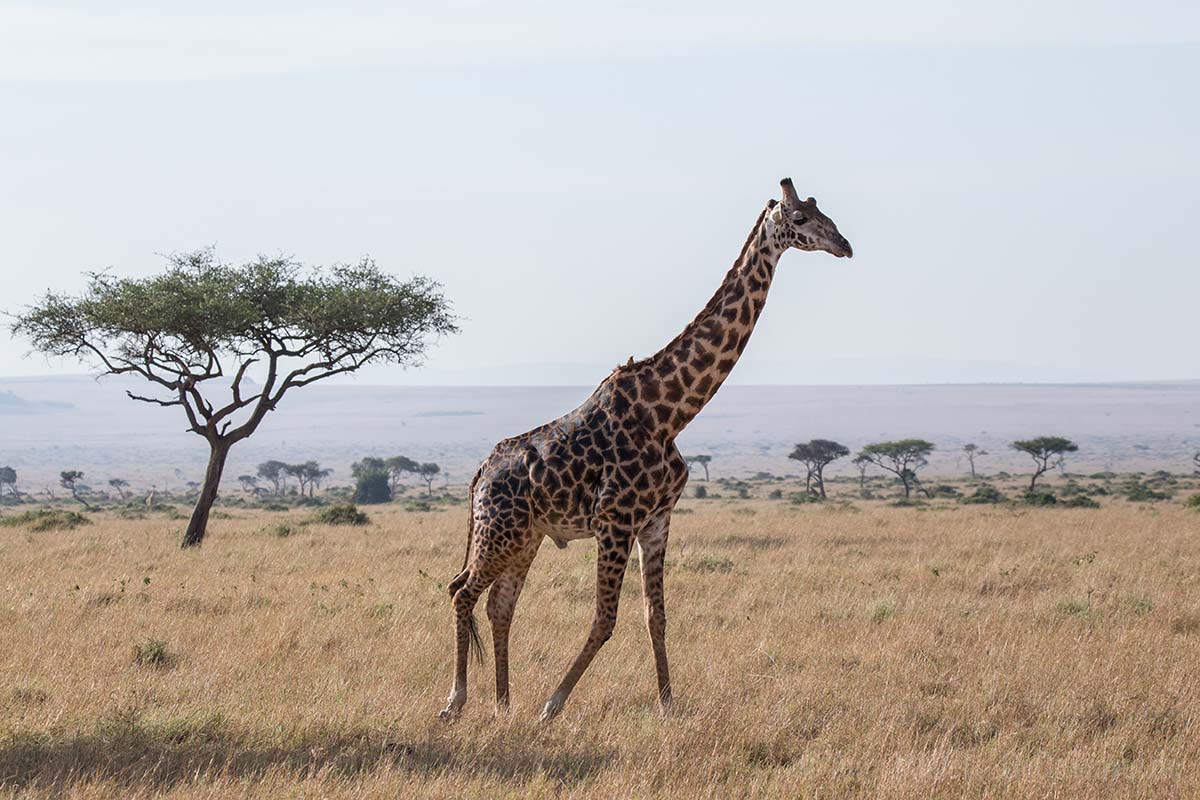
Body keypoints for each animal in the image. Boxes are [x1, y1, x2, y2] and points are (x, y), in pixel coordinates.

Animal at [441, 178, 853, 722]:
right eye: (801, 219)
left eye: (824, 211)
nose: (844, 245)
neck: (670, 413)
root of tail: (479, 476)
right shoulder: (615, 520)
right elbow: (604, 619)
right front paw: (552, 704)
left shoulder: (657, 520)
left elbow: (655, 614)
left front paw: (668, 703)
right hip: (498, 530)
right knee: (460, 591)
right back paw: (456, 702)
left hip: (525, 536)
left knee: (498, 603)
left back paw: (503, 704)